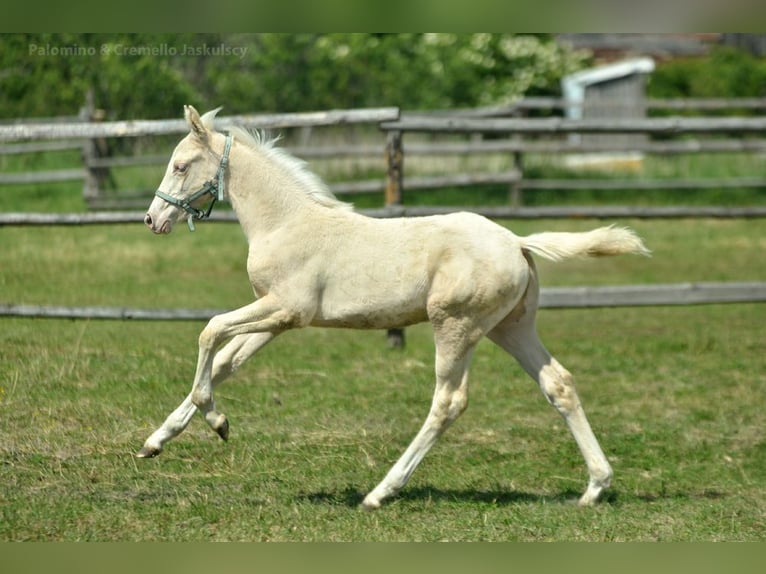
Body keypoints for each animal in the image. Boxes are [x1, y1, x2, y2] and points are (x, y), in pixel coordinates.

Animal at [141, 106, 652, 510]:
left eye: (180, 166)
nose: (152, 219)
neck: (285, 223)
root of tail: (517, 241)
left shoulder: (285, 309)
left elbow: (210, 330)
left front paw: (216, 421)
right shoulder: (277, 317)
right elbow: (225, 361)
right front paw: (158, 441)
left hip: (456, 325)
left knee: (448, 402)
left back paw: (380, 491)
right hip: (511, 327)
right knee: (558, 383)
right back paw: (595, 487)